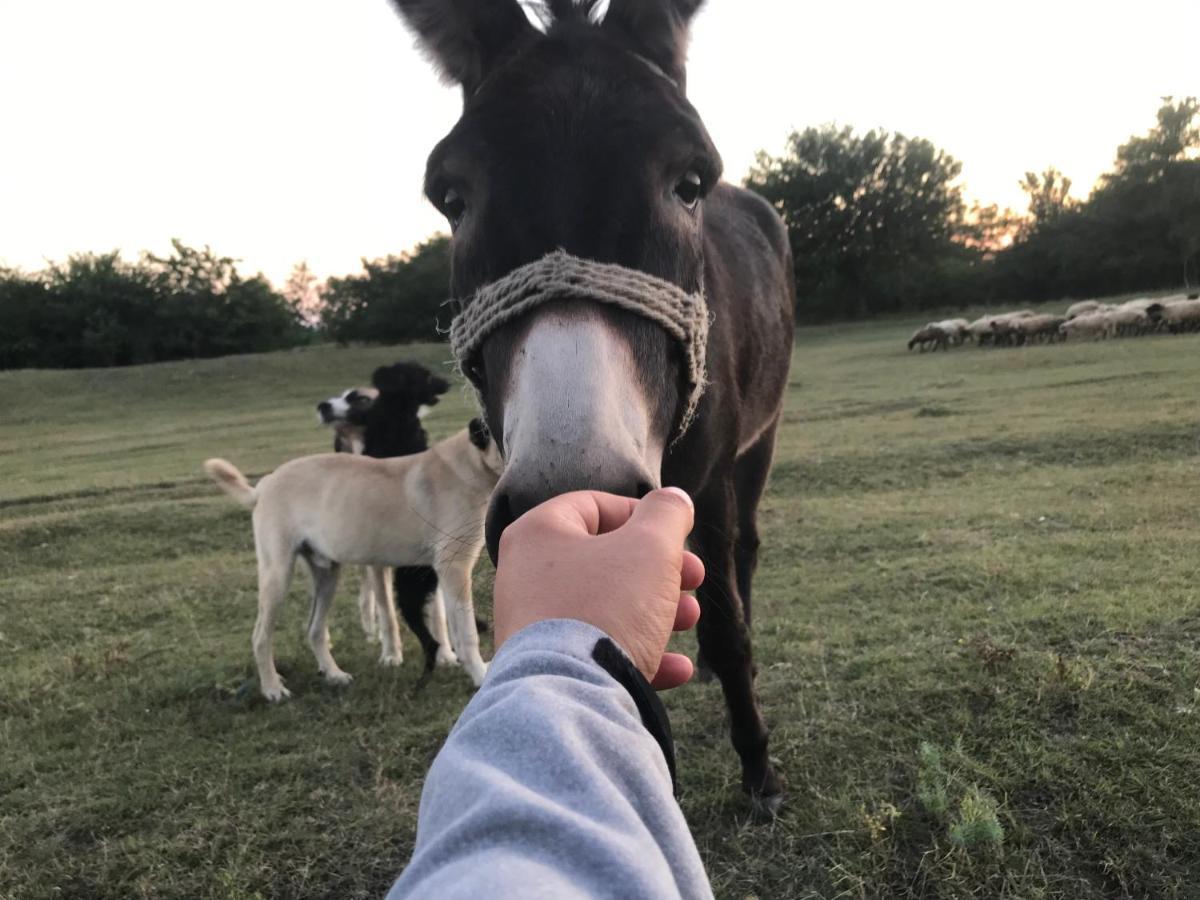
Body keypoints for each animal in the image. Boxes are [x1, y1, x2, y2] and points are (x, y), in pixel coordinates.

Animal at [206, 420, 501, 700]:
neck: (474, 462)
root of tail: (264, 484)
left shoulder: (435, 570)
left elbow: (439, 615)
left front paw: (447, 658)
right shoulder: (455, 567)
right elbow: (466, 632)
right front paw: (479, 674)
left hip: (327, 575)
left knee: (314, 630)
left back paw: (333, 674)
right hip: (277, 575)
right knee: (260, 637)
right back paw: (272, 688)